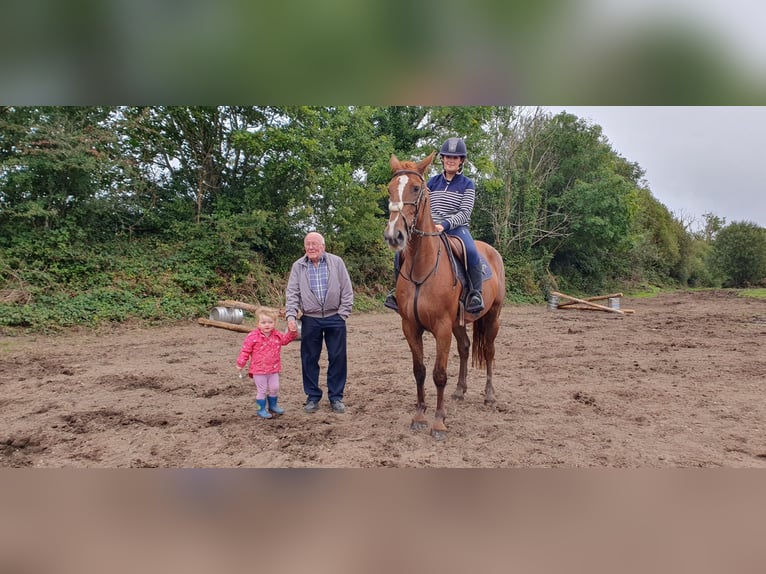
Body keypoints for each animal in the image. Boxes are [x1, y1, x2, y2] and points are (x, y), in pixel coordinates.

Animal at [382, 153, 504, 440]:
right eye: (390, 190)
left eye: (417, 189)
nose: (394, 235)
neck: (422, 266)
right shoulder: (411, 327)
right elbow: (419, 371)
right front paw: (419, 415)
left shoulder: (441, 328)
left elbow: (438, 374)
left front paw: (438, 422)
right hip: (458, 324)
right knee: (465, 348)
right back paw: (460, 391)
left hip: (492, 317)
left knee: (489, 351)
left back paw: (489, 396)